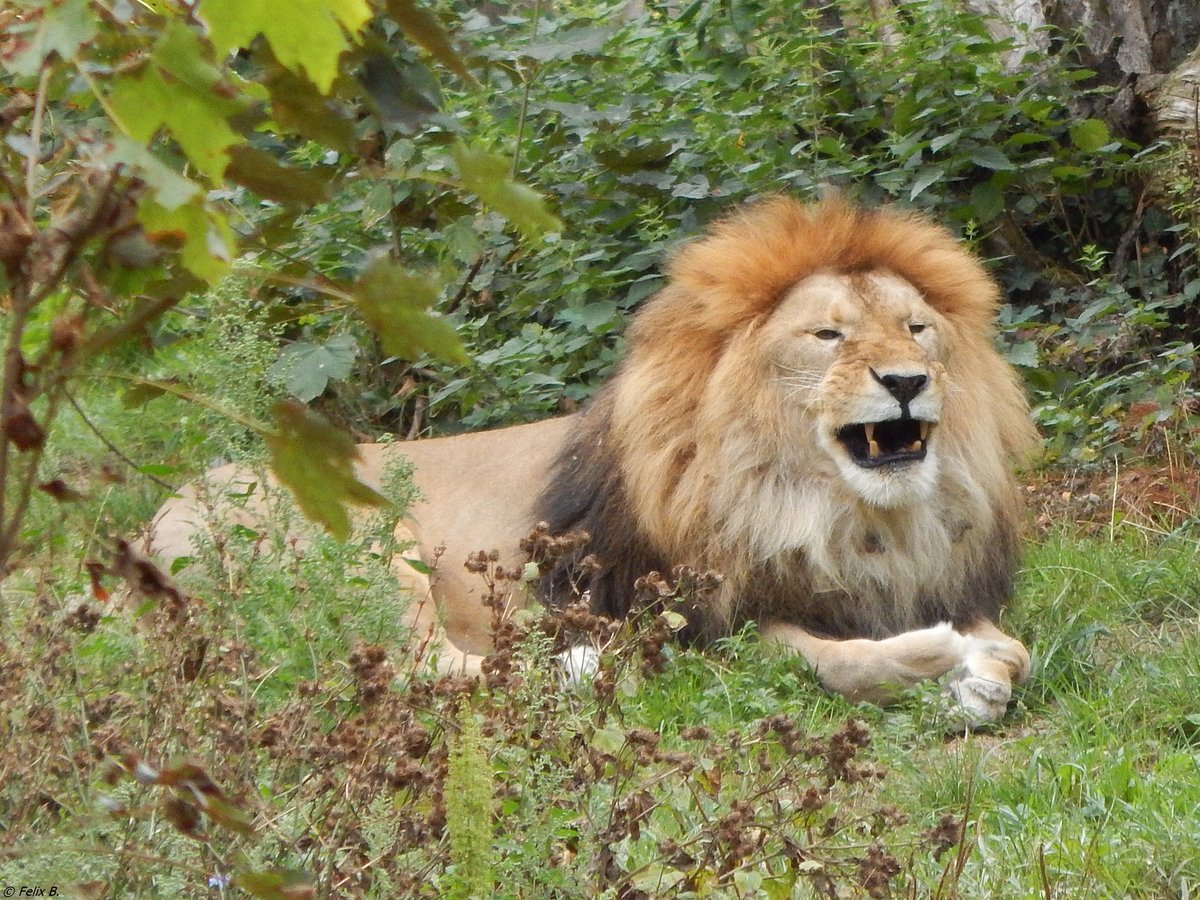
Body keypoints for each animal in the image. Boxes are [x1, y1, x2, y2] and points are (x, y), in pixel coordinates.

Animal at [147, 196, 1032, 724]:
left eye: (916, 328)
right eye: (829, 335)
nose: (907, 381)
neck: (847, 514)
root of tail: (154, 518)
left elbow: (1013, 649)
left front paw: (981, 674)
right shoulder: (692, 621)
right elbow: (825, 657)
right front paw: (943, 659)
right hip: (367, 548)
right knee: (415, 665)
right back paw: (582, 668)